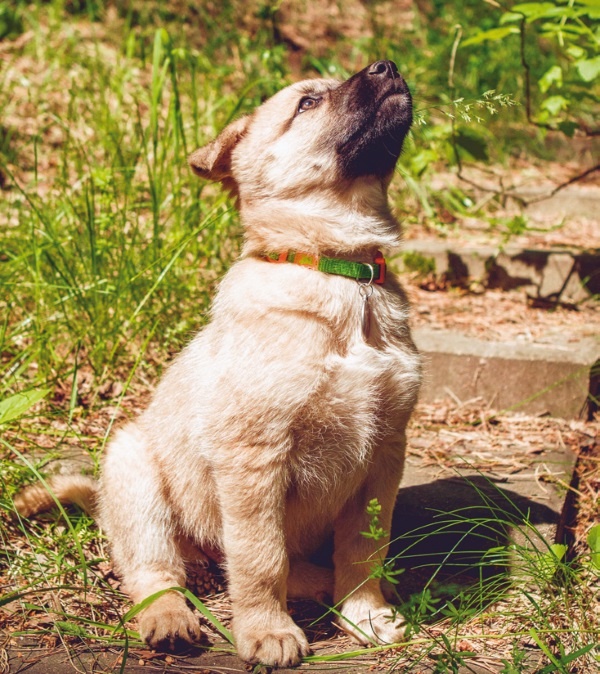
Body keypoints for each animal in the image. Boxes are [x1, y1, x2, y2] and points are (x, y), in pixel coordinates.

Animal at [14, 61, 420, 668]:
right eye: (308, 103)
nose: (387, 66)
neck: (339, 274)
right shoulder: (253, 456)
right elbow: (260, 559)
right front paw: (267, 631)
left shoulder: (385, 452)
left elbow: (364, 547)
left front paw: (365, 614)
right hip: (136, 476)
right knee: (157, 573)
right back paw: (170, 619)